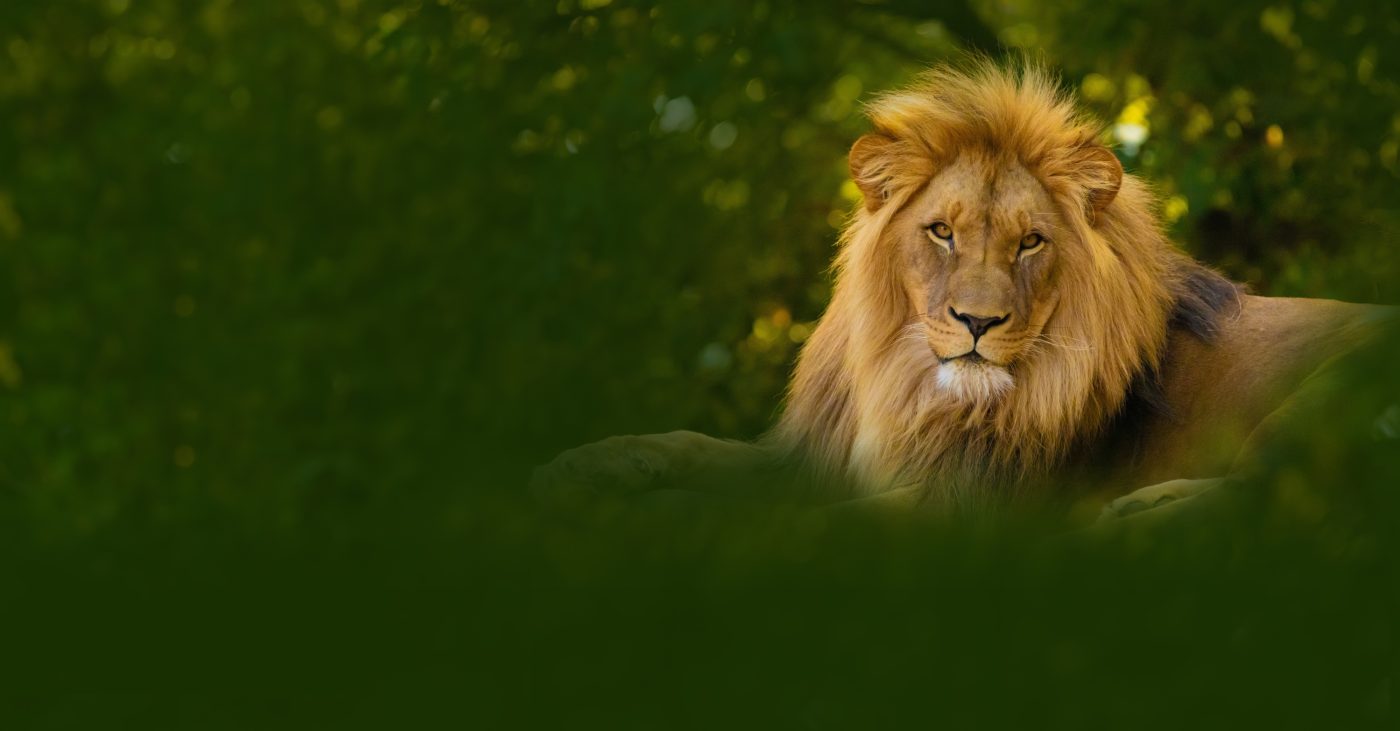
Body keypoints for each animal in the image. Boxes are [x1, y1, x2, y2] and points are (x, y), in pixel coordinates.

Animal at [531, 61, 1395, 521]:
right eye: (942, 231)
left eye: (1031, 241)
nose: (977, 321)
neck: (919, 389)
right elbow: (689, 443)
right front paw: (583, 465)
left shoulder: (971, 500)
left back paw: (1131, 516)